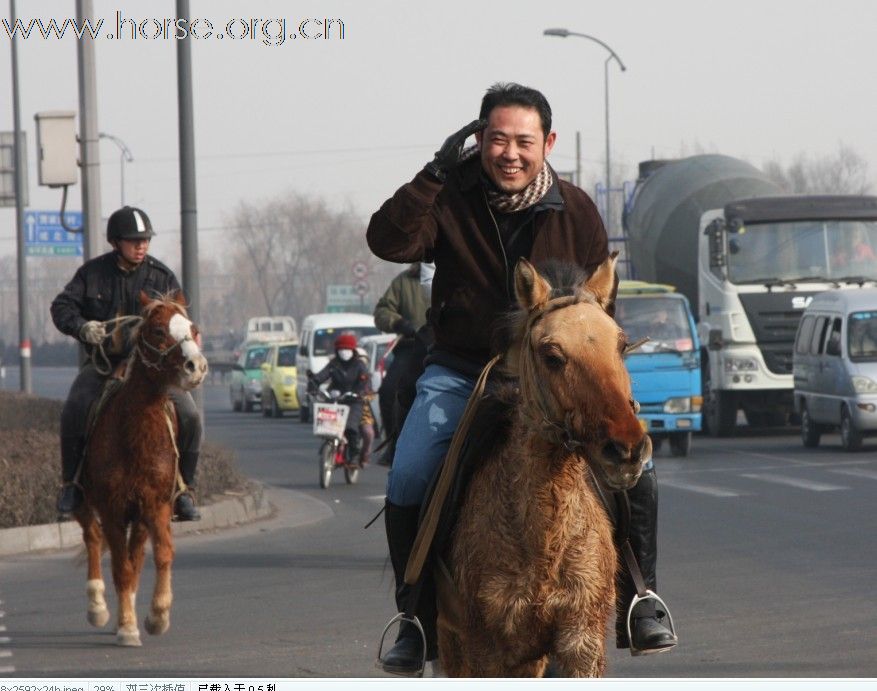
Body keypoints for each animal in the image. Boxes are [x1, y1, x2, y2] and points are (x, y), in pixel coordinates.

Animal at [73, 292, 207, 648]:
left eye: (193, 329)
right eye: (159, 331)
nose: (197, 367)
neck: (134, 434)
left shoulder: (154, 504)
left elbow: (160, 555)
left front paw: (157, 616)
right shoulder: (112, 507)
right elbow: (121, 566)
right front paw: (128, 627)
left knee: (135, 555)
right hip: (85, 501)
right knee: (92, 538)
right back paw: (98, 606)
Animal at [436, 256, 652, 680]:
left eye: (620, 346)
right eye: (552, 356)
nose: (627, 450)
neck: (542, 541)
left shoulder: (581, 640)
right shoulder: (485, 650)